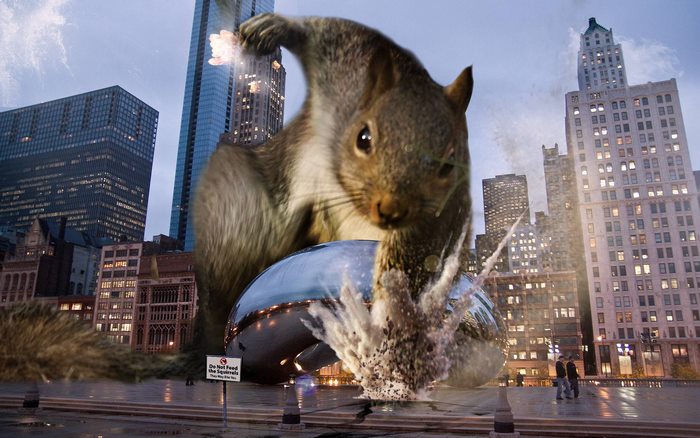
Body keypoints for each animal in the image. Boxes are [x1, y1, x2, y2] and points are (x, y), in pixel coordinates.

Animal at [192, 13, 474, 359]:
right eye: (364, 138)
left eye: (449, 164)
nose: (391, 209)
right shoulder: (345, 59)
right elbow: (323, 31)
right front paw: (270, 28)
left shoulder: (441, 223)